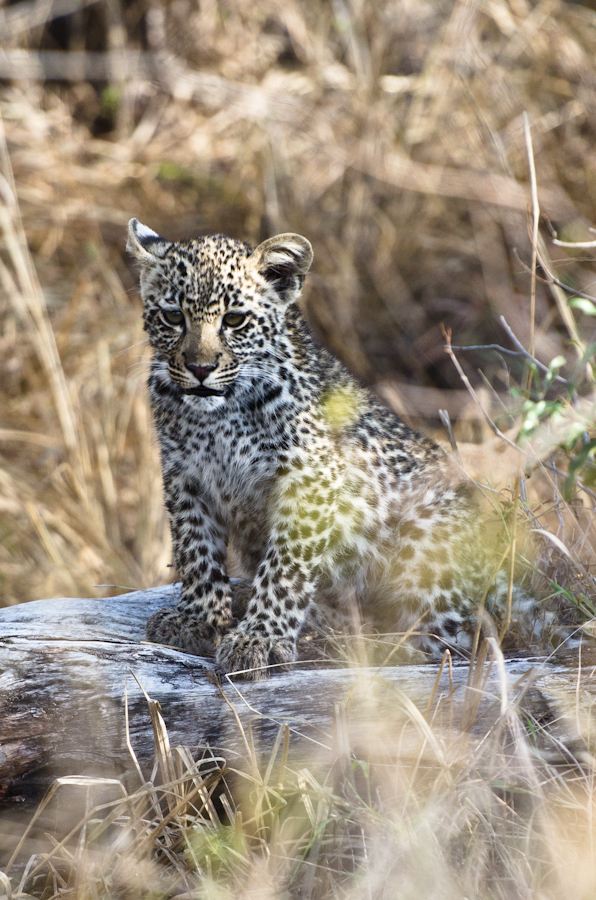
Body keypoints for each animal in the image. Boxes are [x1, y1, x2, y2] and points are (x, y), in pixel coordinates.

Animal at [127, 217, 546, 680]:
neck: (218, 417)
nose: (200, 368)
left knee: (449, 637)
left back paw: (342, 638)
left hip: (427, 537)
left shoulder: (309, 478)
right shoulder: (185, 475)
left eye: (234, 320)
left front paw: (261, 637)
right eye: (172, 316)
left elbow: (285, 566)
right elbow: (195, 550)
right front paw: (198, 618)